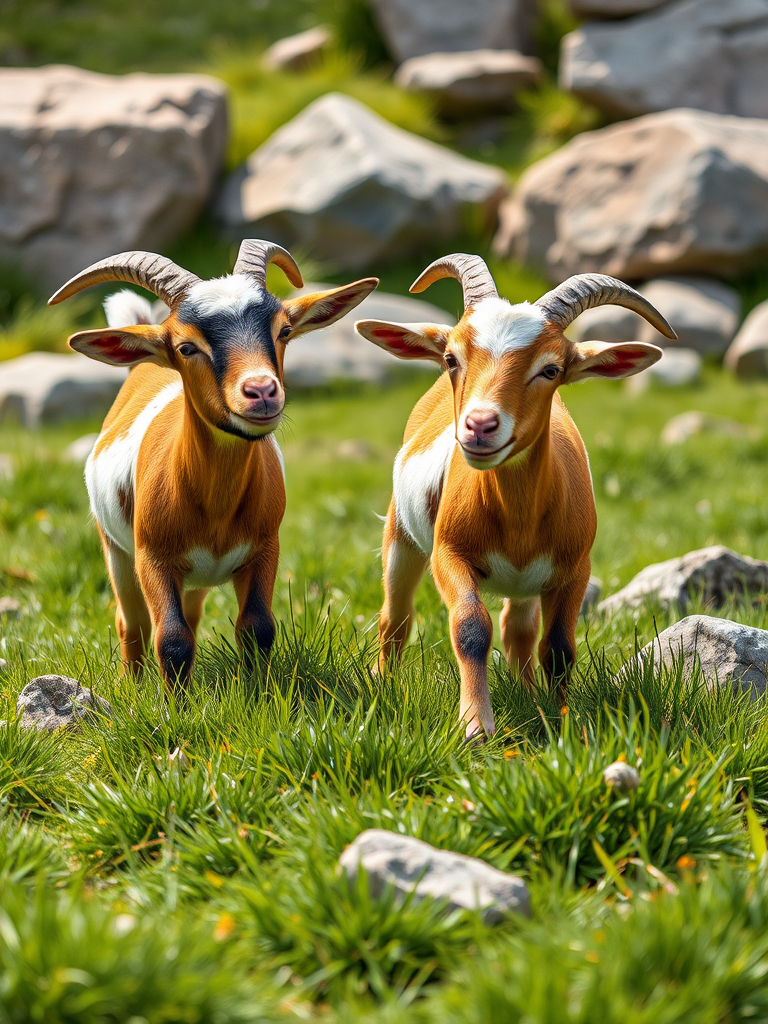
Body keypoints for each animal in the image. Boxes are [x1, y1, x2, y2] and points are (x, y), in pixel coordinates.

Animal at [49, 240, 377, 689]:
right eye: (187, 347)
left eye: (283, 331)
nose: (261, 390)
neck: (214, 508)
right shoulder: (153, 558)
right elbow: (170, 638)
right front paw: (173, 705)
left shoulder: (264, 550)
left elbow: (256, 627)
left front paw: (258, 694)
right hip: (115, 549)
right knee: (131, 623)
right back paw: (133, 685)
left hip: (194, 579)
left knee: (189, 614)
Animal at [355, 254, 675, 738]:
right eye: (452, 358)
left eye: (551, 369)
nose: (480, 425)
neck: (518, 518)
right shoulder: (449, 555)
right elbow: (470, 627)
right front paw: (475, 725)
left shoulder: (574, 569)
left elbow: (558, 647)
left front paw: (562, 721)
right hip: (401, 535)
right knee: (396, 615)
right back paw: (383, 681)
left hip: (526, 583)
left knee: (518, 629)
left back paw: (529, 695)